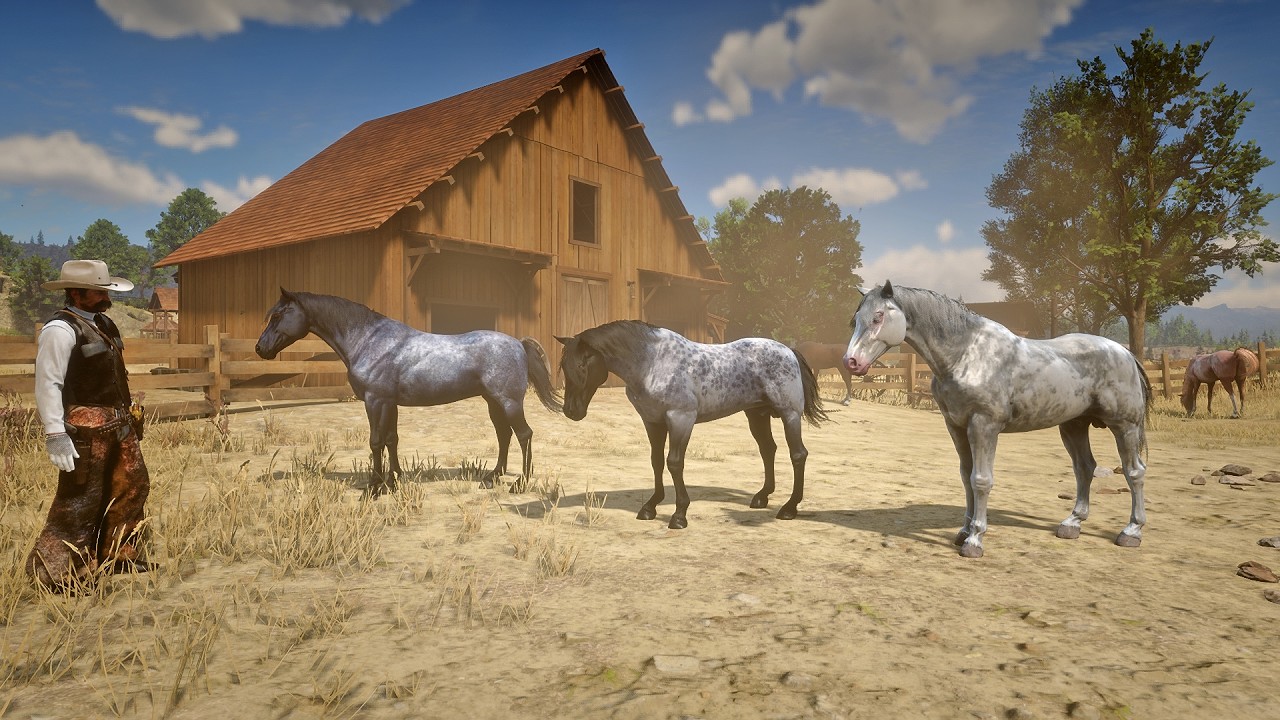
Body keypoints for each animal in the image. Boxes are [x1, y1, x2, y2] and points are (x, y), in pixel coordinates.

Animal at [255, 289, 562, 494]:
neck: (368, 340)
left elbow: (375, 441)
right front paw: (393, 480)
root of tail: (518, 343)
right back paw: (492, 477)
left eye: (278, 314)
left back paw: (520, 483)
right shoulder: (390, 403)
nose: (260, 349)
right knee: (504, 435)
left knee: (523, 435)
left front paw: (374, 487)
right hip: (493, 402)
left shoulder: (375, 401)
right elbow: (392, 439)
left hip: (509, 402)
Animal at [556, 320, 829, 529]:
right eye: (564, 366)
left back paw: (789, 508)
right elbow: (656, 462)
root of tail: (789, 351)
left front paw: (679, 515)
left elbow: (674, 463)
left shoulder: (681, 419)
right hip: (756, 415)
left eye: (582, 364)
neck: (652, 362)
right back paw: (762, 497)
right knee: (768, 450)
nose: (571, 411)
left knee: (798, 454)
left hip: (789, 414)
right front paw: (650, 507)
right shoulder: (652, 421)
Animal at [844, 281, 1152, 558]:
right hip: (1073, 426)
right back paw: (1071, 524)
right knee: (1085, 468)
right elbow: (966, 476)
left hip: (1124, 426)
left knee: (1134, 472)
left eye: (878, 316)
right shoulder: (956, 426)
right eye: (855, 319)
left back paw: (1131, 532)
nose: (851, 362)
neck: (965, 355)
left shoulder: (984, 425)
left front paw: (975, 540)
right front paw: (963, 532)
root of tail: (1125, 353)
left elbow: (981, 480)